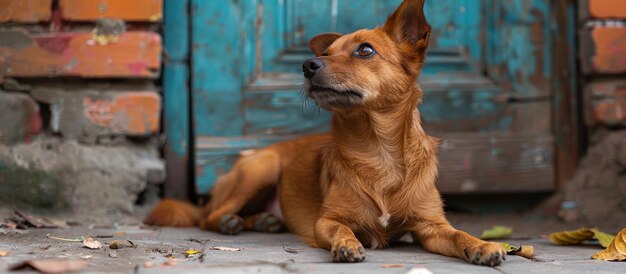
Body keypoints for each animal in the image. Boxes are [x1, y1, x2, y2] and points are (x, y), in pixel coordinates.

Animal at [146, 0, 502, 266]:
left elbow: (458, 234)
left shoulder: (432, 227)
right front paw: (347, 244)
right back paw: (230, 222)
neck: (378, 150)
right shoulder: (326, 221)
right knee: (209, 216)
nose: (308, 64)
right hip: (262, 168)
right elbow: (343, 229)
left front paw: (482, 245)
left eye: (365, 51)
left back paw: (263, 221)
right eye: (326, 53)